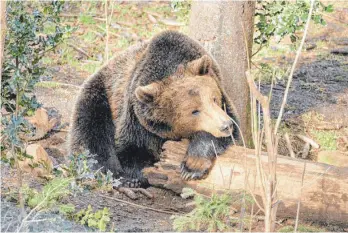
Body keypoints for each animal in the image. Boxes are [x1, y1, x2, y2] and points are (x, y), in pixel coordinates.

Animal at [68, 31, 238, 187]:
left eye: (214, 99)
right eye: (194, 111)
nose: (225, 125)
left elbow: (228, 133)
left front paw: (192, 166)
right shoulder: (136, 116)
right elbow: (131, 149)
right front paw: (136, 177)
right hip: (100, 93)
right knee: (90, 129)